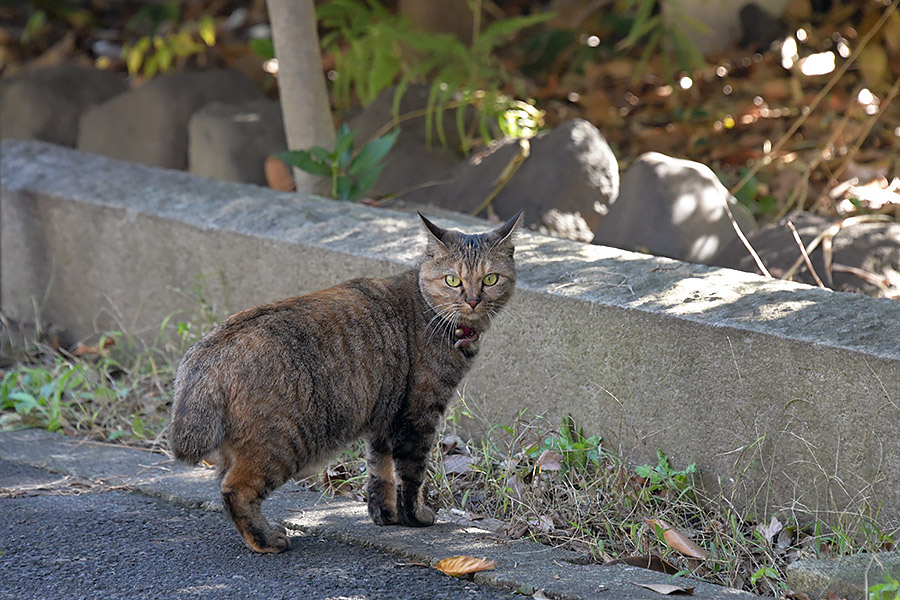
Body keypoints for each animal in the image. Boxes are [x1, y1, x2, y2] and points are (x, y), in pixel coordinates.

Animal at [171, 211, 520, 552]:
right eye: (452, 280)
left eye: (490, 279)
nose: (473, 300)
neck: (433, 314)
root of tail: (210, 348)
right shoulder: (418, 415)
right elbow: (412, 475)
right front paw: (416, 516)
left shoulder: (385, 415)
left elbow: (380, 471)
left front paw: (386, 514)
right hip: (283, 443)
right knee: (235, 489)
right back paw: (267, 540)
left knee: (223, 482)